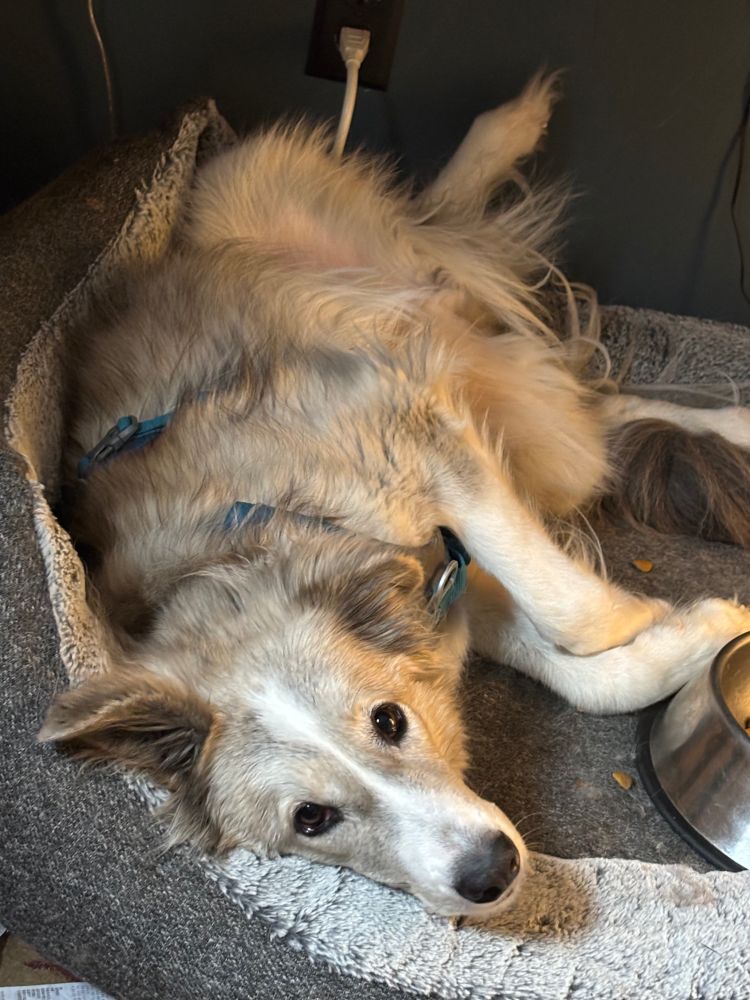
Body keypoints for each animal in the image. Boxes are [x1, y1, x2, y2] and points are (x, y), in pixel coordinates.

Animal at [39, 76, 750, 920]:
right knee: (597, 413)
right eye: (311, 819)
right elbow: (582, 671)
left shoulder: (420, 439)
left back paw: (509, 129)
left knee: (440, 225)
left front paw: (661, 619)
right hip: (521, 405)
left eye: (389, 720)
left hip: (349, 252)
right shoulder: (441, 584)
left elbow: (577, 615)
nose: (490, 872)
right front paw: (696, 636)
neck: (256, 526)